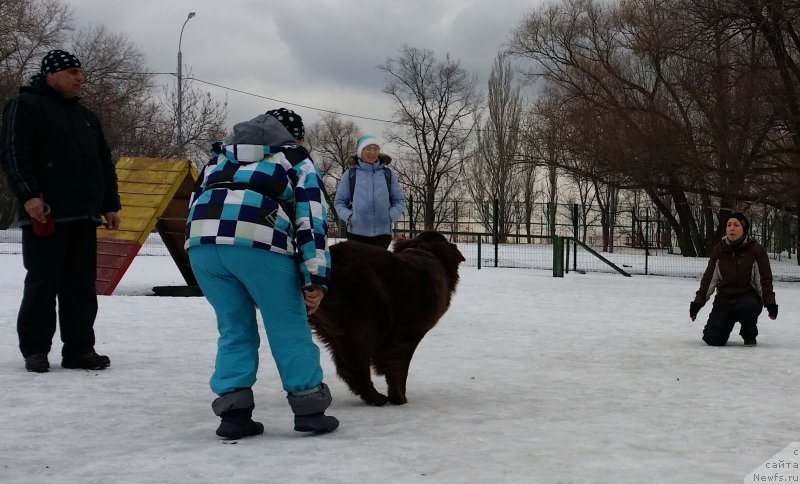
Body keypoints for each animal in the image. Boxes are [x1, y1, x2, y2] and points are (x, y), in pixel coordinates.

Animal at [310, 231, 466, 404]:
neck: (425, 251)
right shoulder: (407, 334)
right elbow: (399, 367)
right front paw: (399, 397)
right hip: (362, 323)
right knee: (356, 365)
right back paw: (375, 397)